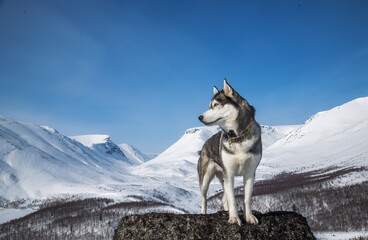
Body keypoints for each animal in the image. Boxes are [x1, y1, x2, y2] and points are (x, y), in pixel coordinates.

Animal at [198, 79, 262, 226]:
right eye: (210, 106)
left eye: (216, 105)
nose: (200, 117)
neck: (238, 137)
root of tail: (204, 145)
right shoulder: (230, 173)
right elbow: (232, 198)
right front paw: (233, 218)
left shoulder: (250, 173)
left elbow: (246, 198)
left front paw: (249, 217)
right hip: (205, 178)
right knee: (204, 198)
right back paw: (203, 213)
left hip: (223, 177)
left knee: (223, 197)